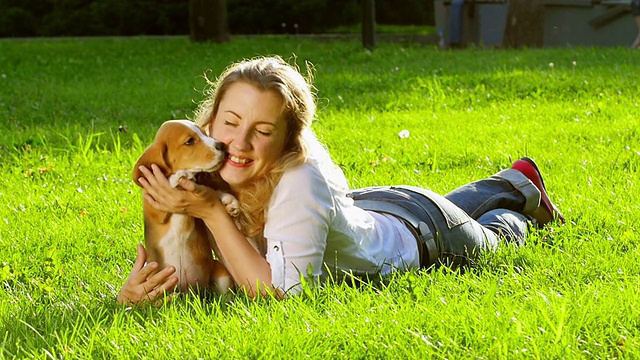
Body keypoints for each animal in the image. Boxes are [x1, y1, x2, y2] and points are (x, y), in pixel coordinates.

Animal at [131, 119, 239, 296]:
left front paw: (229, 202)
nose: (222, 145)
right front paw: (179, 176)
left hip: (221, 272)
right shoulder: (155, 208)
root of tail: (190, 292)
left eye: (205, 133)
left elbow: (213, 191)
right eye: (190, 141)